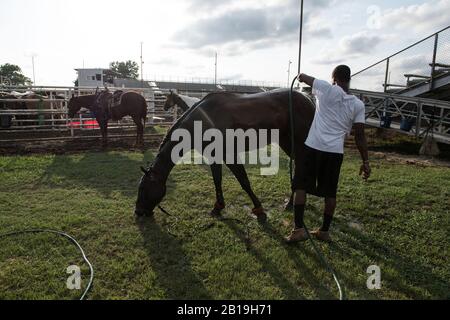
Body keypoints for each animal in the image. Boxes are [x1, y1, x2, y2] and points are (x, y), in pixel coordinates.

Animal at [135, 89, 314, 221]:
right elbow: (217, 180)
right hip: (286, 142)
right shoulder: (213, 156)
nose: (138, 211)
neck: (203, 120)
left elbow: (244, 181)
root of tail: (308, 99)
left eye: (143, 188)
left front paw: (259, 209)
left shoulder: (230, 155)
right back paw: (293, 201)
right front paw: (218, 207)